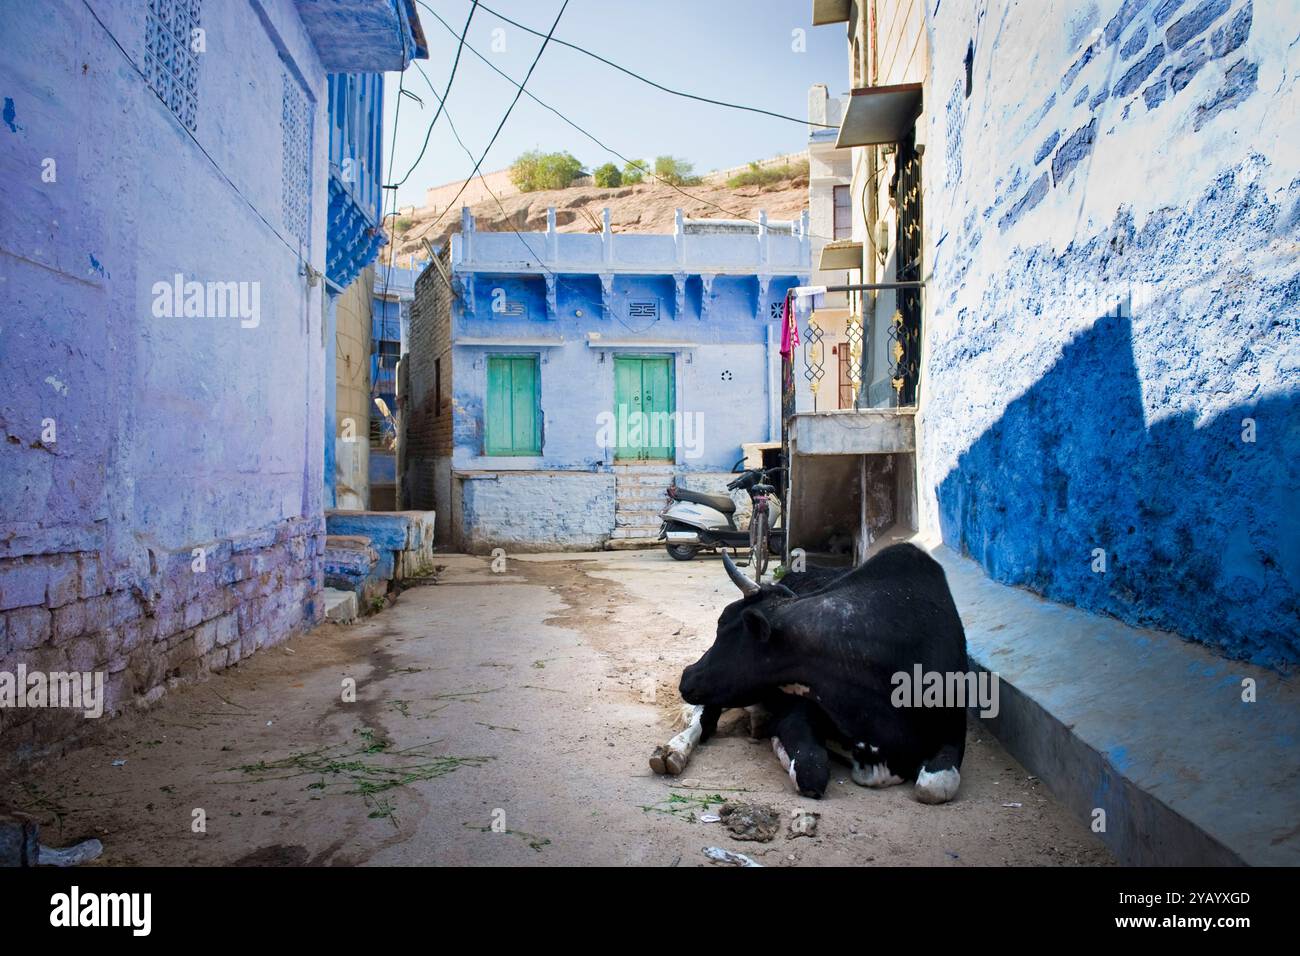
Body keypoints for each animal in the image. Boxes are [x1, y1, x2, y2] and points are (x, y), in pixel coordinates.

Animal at [681, 541, 967, 806]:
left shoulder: (953, 730)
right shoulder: (797, 712)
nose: (686, 675)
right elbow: (812, 770)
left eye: (723, 623)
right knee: (706, 714)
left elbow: (934, 786)